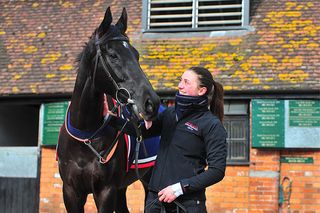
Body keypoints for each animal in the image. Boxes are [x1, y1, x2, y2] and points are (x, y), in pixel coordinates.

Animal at [57, 7, 160, 212]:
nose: (151, 102)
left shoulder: (106, 191)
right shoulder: (71, 192)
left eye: (136, 55)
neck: (86, 135)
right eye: (113, 55)